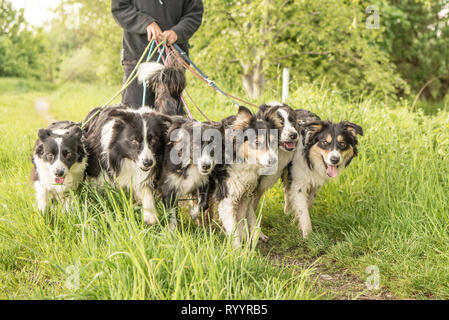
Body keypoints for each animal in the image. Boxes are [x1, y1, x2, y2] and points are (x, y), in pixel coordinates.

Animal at [284, 110, 364, 238]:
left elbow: (308, 203)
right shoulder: (298, 182)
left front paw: (297, 221)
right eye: (325, 142)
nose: (334, 159)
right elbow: (302, 209)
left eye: (342, 144)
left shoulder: (316, 183)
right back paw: (287, 209)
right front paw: (308, 235)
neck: (311, 161)